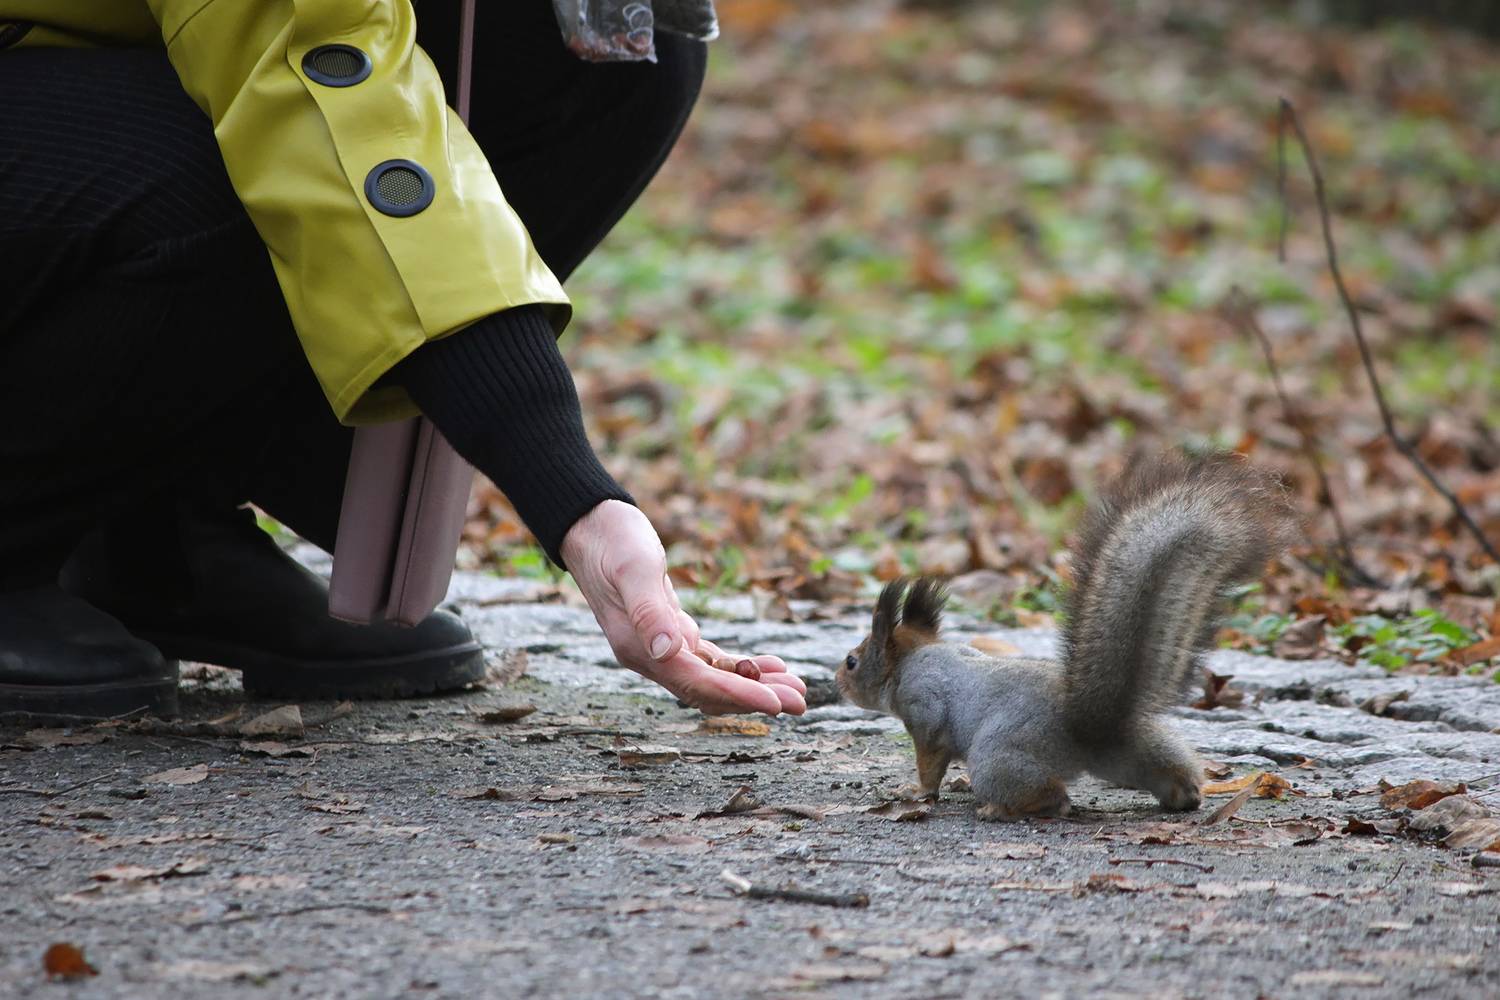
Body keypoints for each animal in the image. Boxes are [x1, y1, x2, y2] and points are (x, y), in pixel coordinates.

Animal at [836, 452, 1292, 821]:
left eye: (851, 661)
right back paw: (1185, 795)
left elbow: (930, 762)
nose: (838, 682)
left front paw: (916, 791)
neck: (912, 659)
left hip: (999, 755)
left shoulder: (924, 710)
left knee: (1052, 798)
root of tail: (1088, 728)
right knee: (1170, 772)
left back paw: (998, 808)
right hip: (1134, 748)